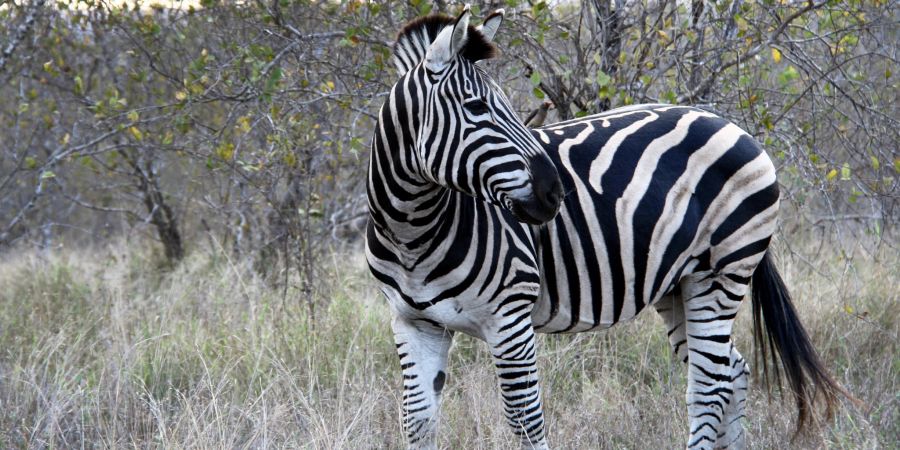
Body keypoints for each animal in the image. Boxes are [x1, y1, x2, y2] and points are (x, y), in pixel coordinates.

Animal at [364, 7, 844, 450]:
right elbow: (417, 422)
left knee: (709, 388)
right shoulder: (413, 323)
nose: (555, 191)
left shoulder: (510, 317)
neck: (412, 233)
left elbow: (526, 421)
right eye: (477, 107)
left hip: (722, 272)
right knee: (733, 371)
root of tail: (730, 125)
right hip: (680, 284)